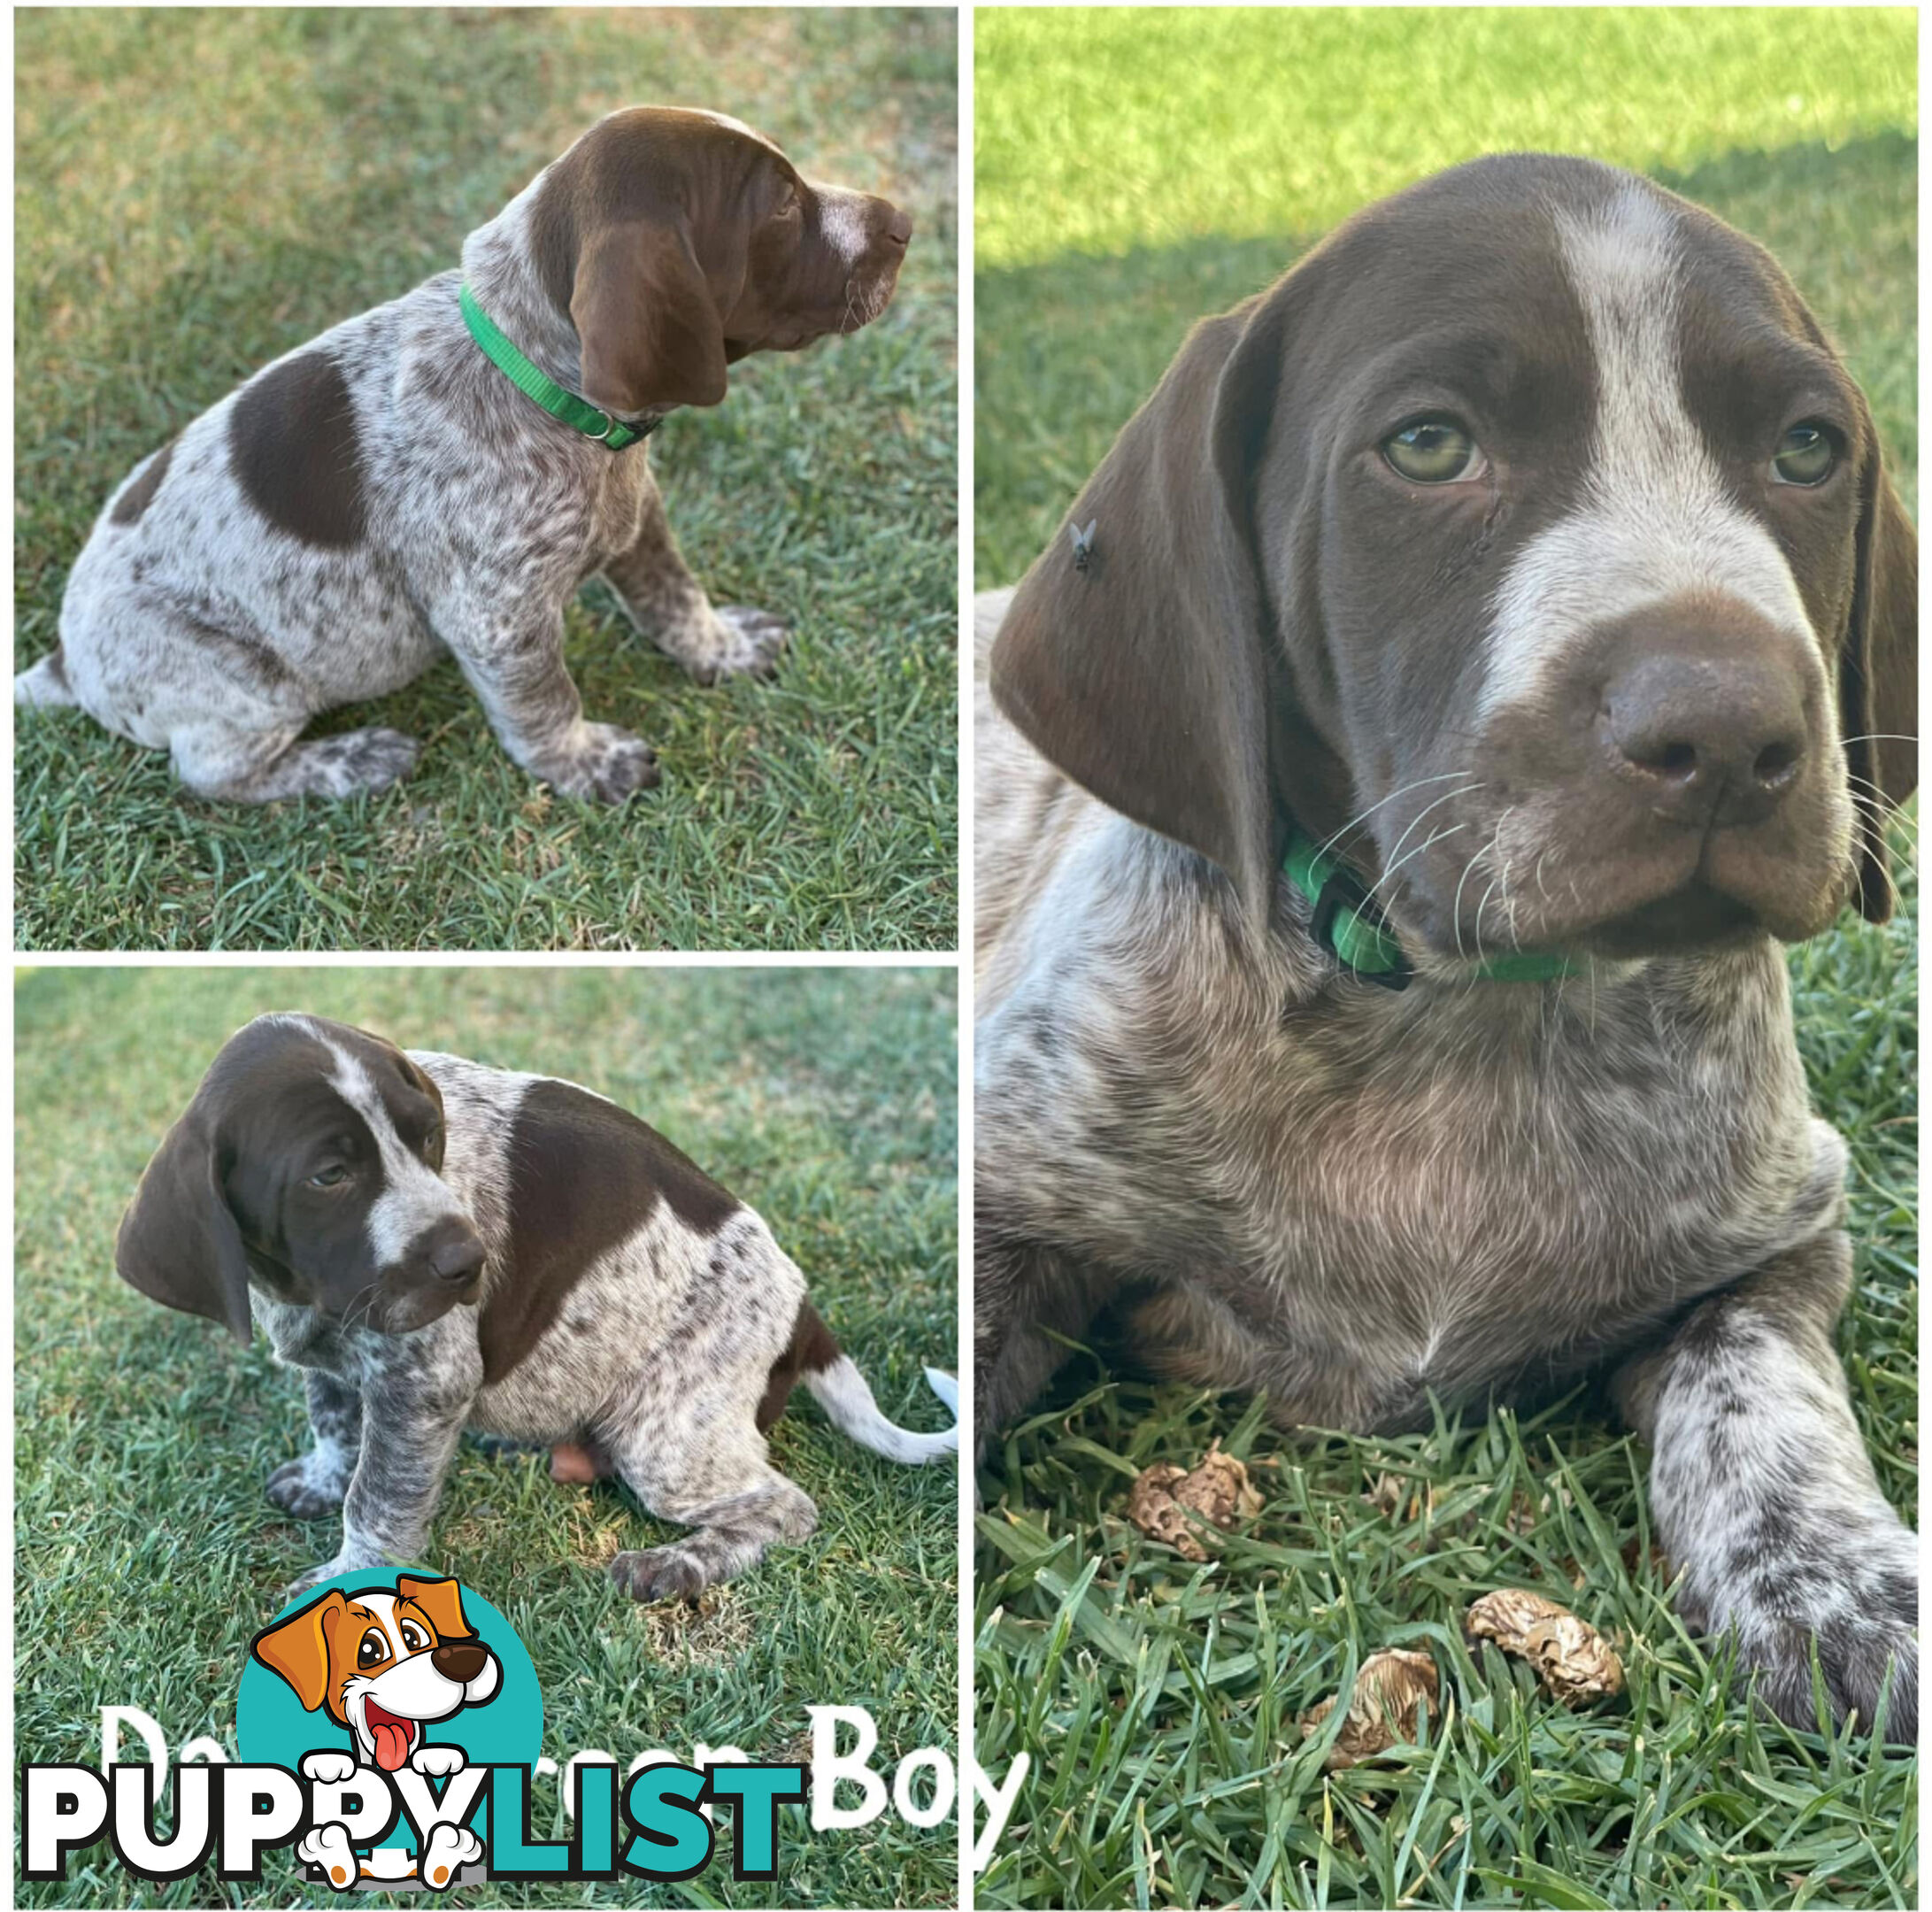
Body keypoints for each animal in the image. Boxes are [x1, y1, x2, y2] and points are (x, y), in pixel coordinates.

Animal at [20, 102, 912, 796]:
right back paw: (349, 762)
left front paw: (719, 648)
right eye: (781, 209)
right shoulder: (498, 619)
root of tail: (64, 661)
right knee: (215, 775)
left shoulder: (638, 520)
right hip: (245, 686)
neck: (540, 387)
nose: (902, 223)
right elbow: (546, 704)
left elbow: (674, 595)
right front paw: (585, 763)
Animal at [114, 1013, 958, 1592]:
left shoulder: (425, 1379)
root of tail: (803, 1316)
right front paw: (325, 1475)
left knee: (783, 1506)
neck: (305, 1290)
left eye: (429, 1139)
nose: (468, 1264)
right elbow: (334, 1421)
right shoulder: (334, 1345)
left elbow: (379, 1495)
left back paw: (679, 1563)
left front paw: (353, 1578)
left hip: (668, 1440)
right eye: (329, 1175)